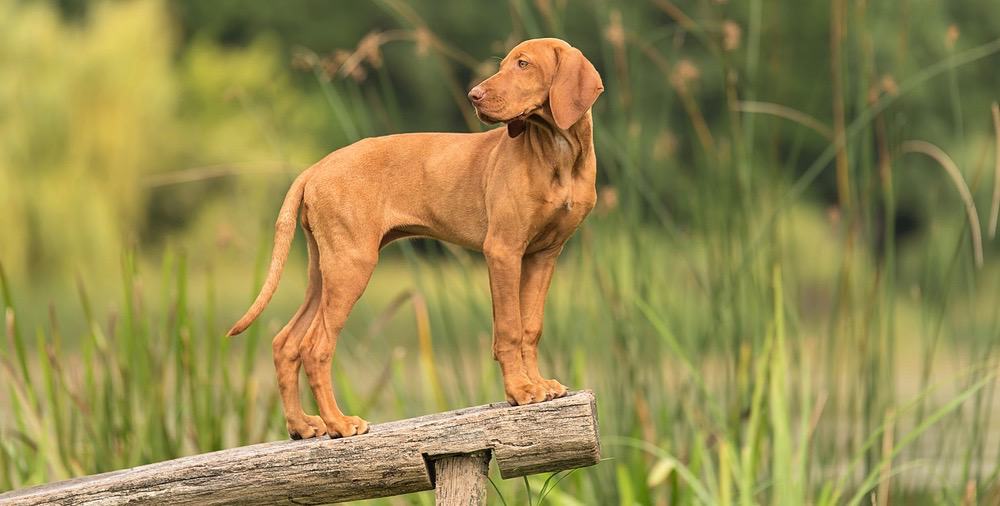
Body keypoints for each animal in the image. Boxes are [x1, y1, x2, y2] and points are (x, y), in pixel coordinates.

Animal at [227, 38, 600, 438]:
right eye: (506, 64)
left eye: (524, 64)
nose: (474, 95)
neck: (556, 151)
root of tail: (316, 167)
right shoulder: (503, 250)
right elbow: (510, 328)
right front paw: (519, 390)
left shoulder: (543, 254)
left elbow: (531, 327)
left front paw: (538, 384)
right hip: (352, 266)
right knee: (315, 347)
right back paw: (340, 423)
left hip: (324, 271)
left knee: (286, 343)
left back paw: (303, 425)